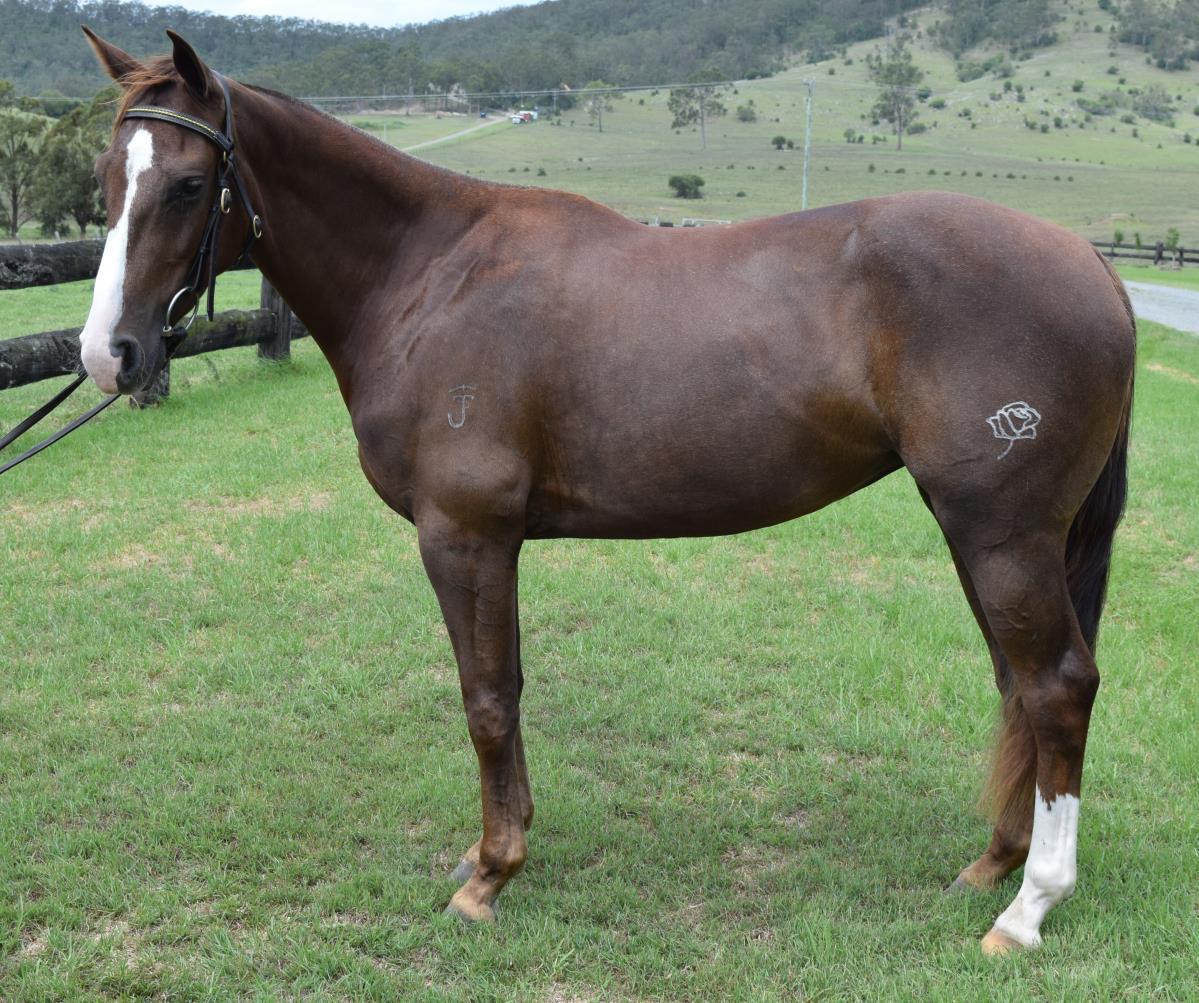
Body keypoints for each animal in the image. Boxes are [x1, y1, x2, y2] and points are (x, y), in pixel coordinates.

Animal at [77, 29, 1135, 954]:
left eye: (187, 184)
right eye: (106, 181)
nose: (107, 354)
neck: (430, 275)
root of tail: (1091, 261)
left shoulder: (464, 535)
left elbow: (486, 698)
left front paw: (489, 874)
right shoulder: (489, 541)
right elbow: (503, 691)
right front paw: (496, 850)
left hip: (1001, 537)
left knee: (1055, 687)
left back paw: (1028, 909)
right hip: (984, 537)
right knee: (1016, 686)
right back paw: (993, 863)